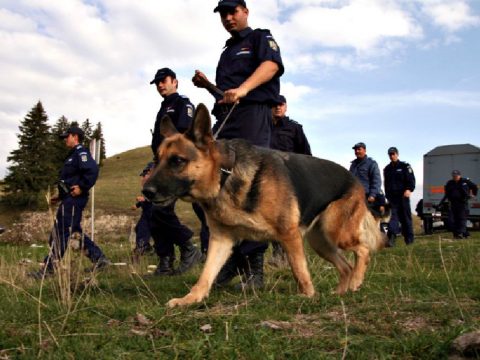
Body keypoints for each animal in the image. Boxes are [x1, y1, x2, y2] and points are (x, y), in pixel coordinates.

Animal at [143, 103, 386, 306]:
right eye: (157, 160)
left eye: (177, 161)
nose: (145, 192)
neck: (225, 174)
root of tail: (354, 179)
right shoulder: (221, 240)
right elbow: (206, 274)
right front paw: (190, 299)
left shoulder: (289, 234)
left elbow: (299, 269)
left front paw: (307, 295)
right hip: (321, 241)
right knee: (345, 266)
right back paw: (341, 292)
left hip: (336, 232)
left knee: (363, 250)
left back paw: (356, 282)